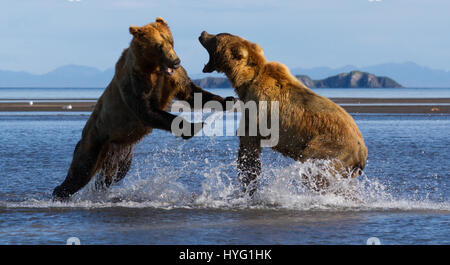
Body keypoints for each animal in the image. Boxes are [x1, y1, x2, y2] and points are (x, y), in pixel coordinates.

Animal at [51, 18, 232, 199]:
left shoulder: (174, 77)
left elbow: (191, 92)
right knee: (81, 170)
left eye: (170, 41)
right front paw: (193, 127)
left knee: (111, 176)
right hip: (95, 140)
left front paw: (227, 100)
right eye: (159, 45)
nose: (176, 61)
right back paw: (59, 192)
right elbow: (147, 111)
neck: (154, 67)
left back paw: (99, 190)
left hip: (121, 153)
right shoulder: (136, 82)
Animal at [199, 32, 368, 195]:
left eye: (216, 37)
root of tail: (362, 153)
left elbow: (249, 150)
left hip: (329, 148)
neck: (246, 81)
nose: (203, 33)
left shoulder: (257, 111)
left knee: (316, 173)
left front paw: (247, 185)